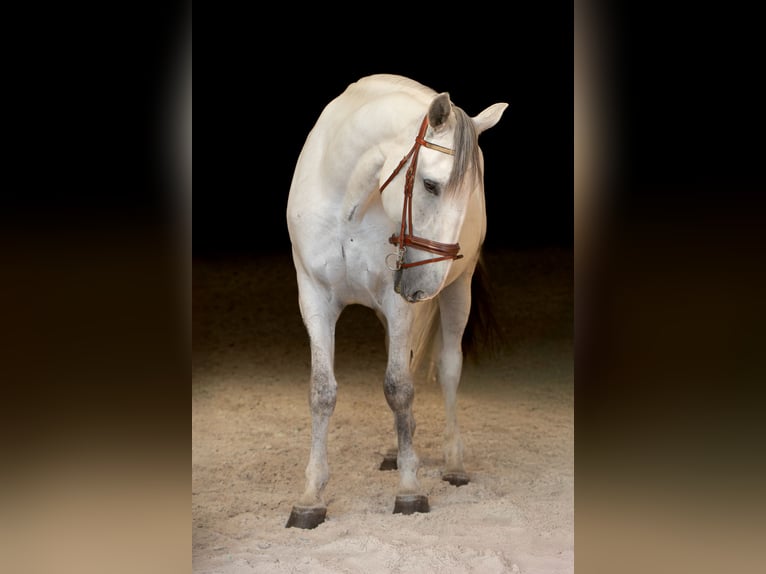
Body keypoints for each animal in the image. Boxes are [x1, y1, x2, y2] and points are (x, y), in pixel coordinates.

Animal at [285, 74, 508, 529]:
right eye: (429, 184)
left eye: (471, 195)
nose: (424, 285)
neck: (348, 202)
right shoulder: (314, 296)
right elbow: (322, 391)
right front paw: (311, 496)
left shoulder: (398, 298)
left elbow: (399, 387)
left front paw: (409, 489)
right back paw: (394, 449)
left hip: (457, 291)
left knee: (448, 368)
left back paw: (453, 463)